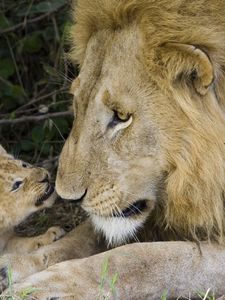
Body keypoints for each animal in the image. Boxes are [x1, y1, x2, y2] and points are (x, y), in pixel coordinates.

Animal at [1, 0, 225, 298]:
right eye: (77, 103)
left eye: (121, 116)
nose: (68, 198)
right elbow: (81, 235)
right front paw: (12, 267)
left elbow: (142, 258)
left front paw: (49, 285)